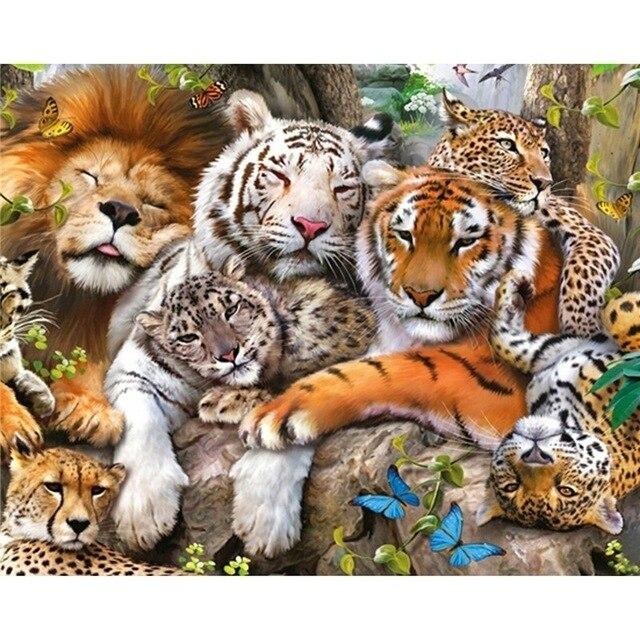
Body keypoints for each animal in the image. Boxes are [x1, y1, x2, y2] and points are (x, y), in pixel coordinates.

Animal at [105, 89, 393, 551]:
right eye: (279, 175)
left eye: (343, 187)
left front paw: (263, 517)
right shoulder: (137, 366)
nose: (310, 225)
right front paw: (143, 512)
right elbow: (139, 420)